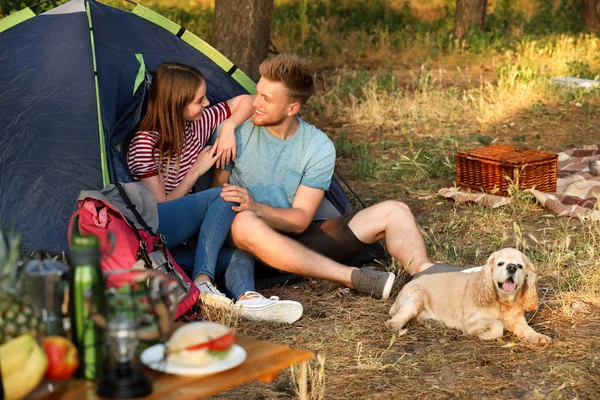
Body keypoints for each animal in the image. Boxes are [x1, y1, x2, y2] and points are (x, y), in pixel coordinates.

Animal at [386, 247, 552, 344]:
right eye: (500, 263)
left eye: (520, 266)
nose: (511, 267)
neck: (503, 302)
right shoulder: (472, 322)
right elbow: (497, 325)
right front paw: (485, 335)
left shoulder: (518, 322)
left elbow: (528, 330)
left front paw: (539, 336)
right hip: (416, 298)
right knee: (396, 320)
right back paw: (397, 328)